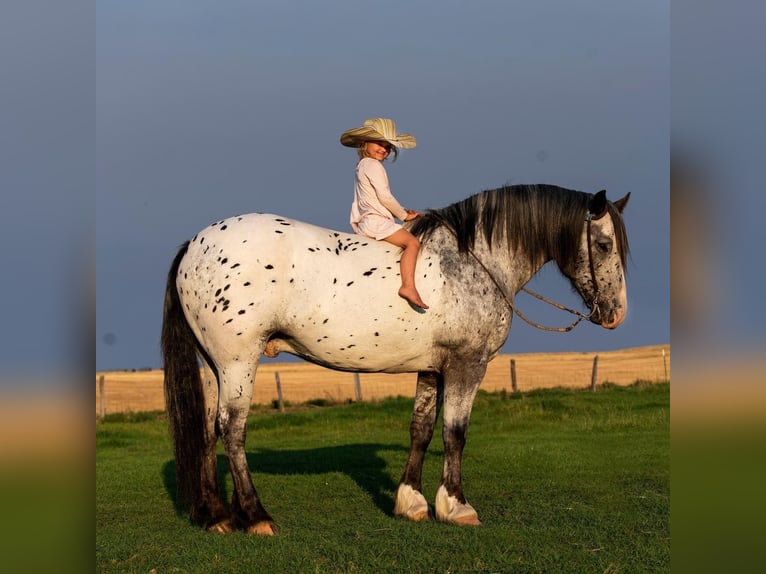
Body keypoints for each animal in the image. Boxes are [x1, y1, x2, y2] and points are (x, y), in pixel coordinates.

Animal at [160, 183, 632, 536]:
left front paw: (411, 502)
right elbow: (455, 433)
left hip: (215, 367)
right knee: (232, 431)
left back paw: (215, 516)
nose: (615, 314)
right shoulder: (467, 365)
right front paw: (456, 506)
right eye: (603, 244)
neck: (471, 261)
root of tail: (195, 245)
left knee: (208, 431)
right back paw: (255, 516)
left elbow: (420, 429)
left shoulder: (431, 368)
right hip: (238, 363)